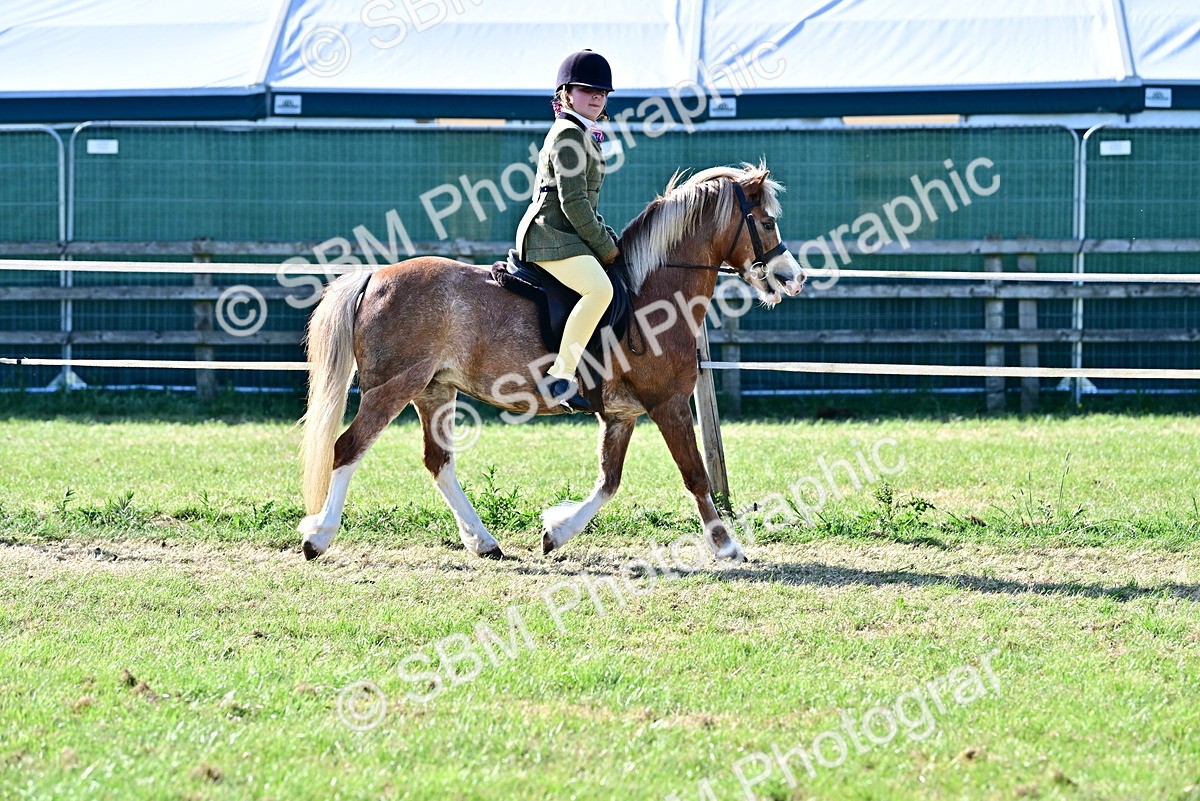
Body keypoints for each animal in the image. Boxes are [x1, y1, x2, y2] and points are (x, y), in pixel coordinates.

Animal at [297, 162, 805, 562]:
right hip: (391, 388)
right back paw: (318, 537)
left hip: (435, 390)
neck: (654, 292)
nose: (792, 278)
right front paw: (727, 546)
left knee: (438, 463)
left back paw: (484, 542)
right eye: (766, 222)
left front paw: (556, 532)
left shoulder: (621, 415)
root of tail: (374, 276)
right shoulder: (669, 405)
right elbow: (696, 476)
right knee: (348, 449)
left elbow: (608, 481)